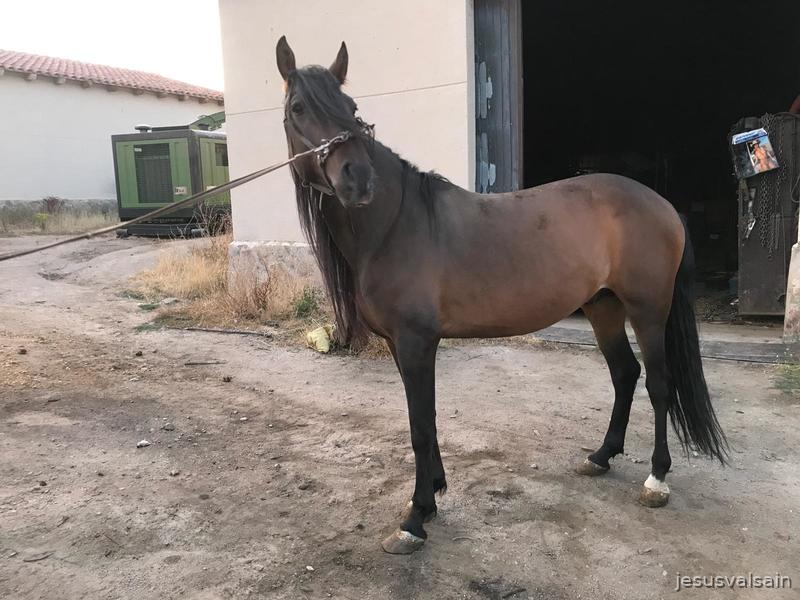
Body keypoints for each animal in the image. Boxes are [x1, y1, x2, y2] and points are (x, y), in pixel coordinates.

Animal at [275, 36, 728, 554]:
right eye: (298, 107)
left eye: (350, 108)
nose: (358, 179)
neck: (394, 224)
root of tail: (663, 205)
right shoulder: (400, 345)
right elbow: (426, 420)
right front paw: (432, 494)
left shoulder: (415, 342)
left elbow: (419, 426)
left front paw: (414, 519)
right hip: (603, 307)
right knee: (625, 374)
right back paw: (600, 456)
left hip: (648, 310)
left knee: (658, 384)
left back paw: (656, 480)